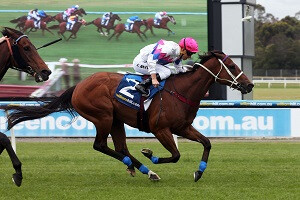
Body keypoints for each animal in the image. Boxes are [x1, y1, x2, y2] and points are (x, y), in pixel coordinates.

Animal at [0, 50, 253, 182]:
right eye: (231, 65)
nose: (249, 85)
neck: (181, 91)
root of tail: (79, 86)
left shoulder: (183, 128)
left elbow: (207, 143)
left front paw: (199, 171)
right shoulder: (161, 129)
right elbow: (175, 155)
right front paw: (150, 154)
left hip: (116, 119)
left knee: (120, 147)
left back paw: (143, 169)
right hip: (103, 116)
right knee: (101, 146)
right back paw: (141, 166)